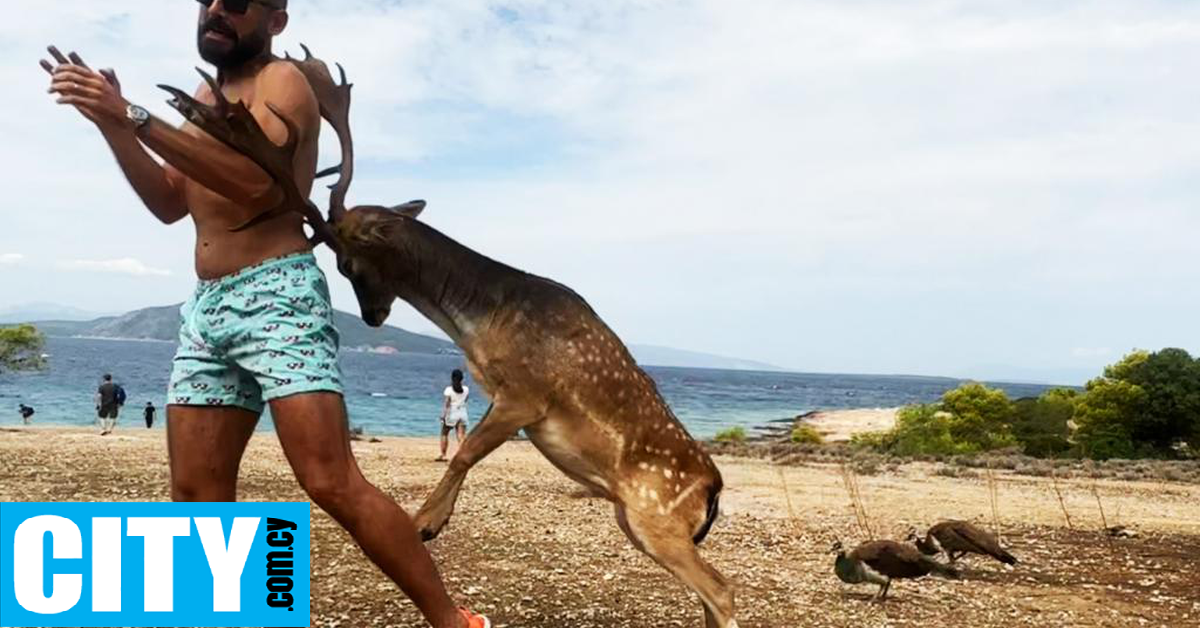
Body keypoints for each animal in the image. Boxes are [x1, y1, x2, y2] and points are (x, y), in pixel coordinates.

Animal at [159, 46, 739, 624]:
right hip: (636, 521)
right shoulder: (502, 394)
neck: (481, 323)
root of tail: (712, 492)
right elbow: (465, 450)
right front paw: (429, 519)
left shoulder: (527, 391)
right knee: (707, 592)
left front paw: (425, 521)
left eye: (348, 263)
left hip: (655, 515)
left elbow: (463, 453)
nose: (372, 316)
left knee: (721, 588)